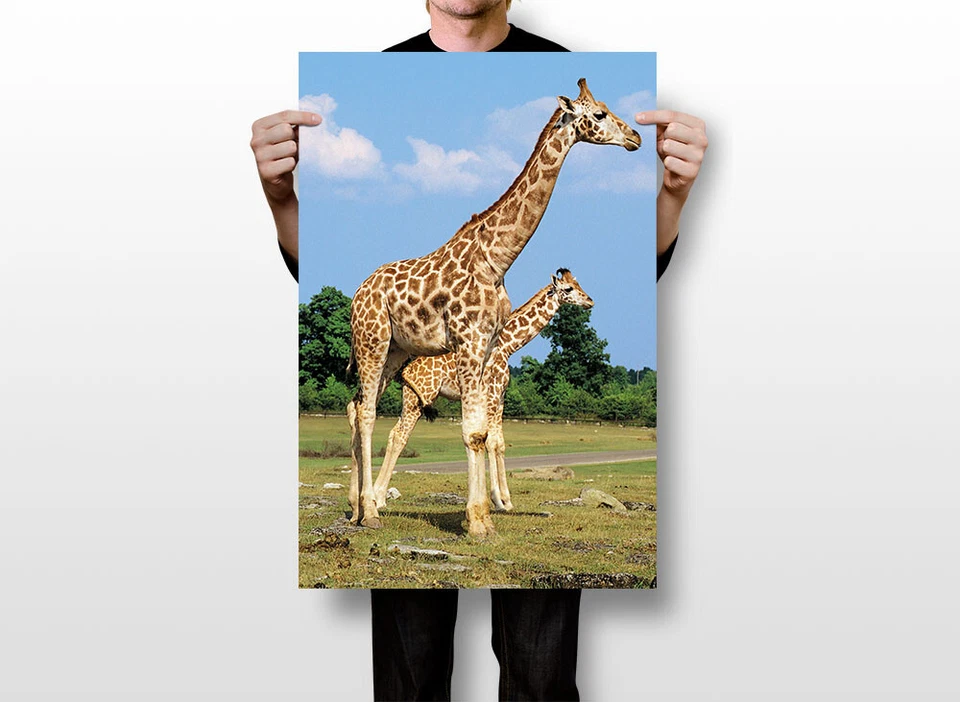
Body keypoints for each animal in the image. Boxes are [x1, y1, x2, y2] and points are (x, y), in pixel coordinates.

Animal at [372, 269, 594, 512]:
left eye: (578, 284)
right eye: (569, 289)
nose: (590, 301)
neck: (508, 345)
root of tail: (405, 370)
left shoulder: (500, 397)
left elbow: (499, 443)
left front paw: (505, 500)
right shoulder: (492, 394)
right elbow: (490, 442)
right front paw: (499, 500)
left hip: (412, 397)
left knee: (394, 433)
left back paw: (376, 496)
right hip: (420, 397)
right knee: (400, 435)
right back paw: (378, 498)